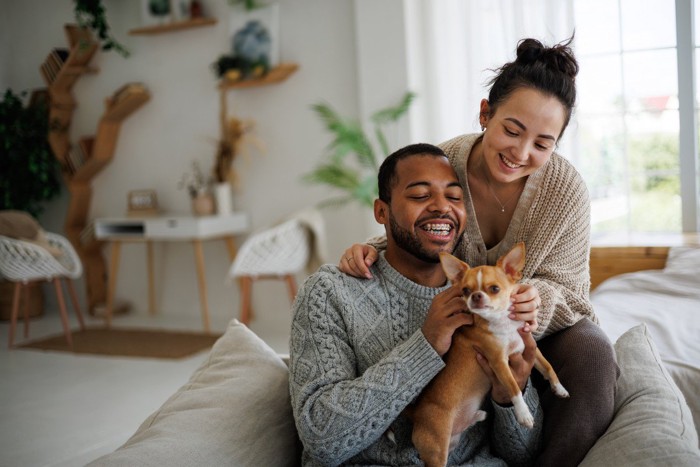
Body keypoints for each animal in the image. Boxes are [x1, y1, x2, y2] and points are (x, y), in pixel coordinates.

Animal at [410, 243, 568, 466]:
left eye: (494, 289)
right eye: (465, 291)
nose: (475, 296)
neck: (502, 323)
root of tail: (415, 415)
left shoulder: (528, 347)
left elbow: (547, 366)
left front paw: (559, 388)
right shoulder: (498, 361)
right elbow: (513, 387)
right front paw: (523, 414)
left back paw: (478, 416)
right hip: (437, 452)